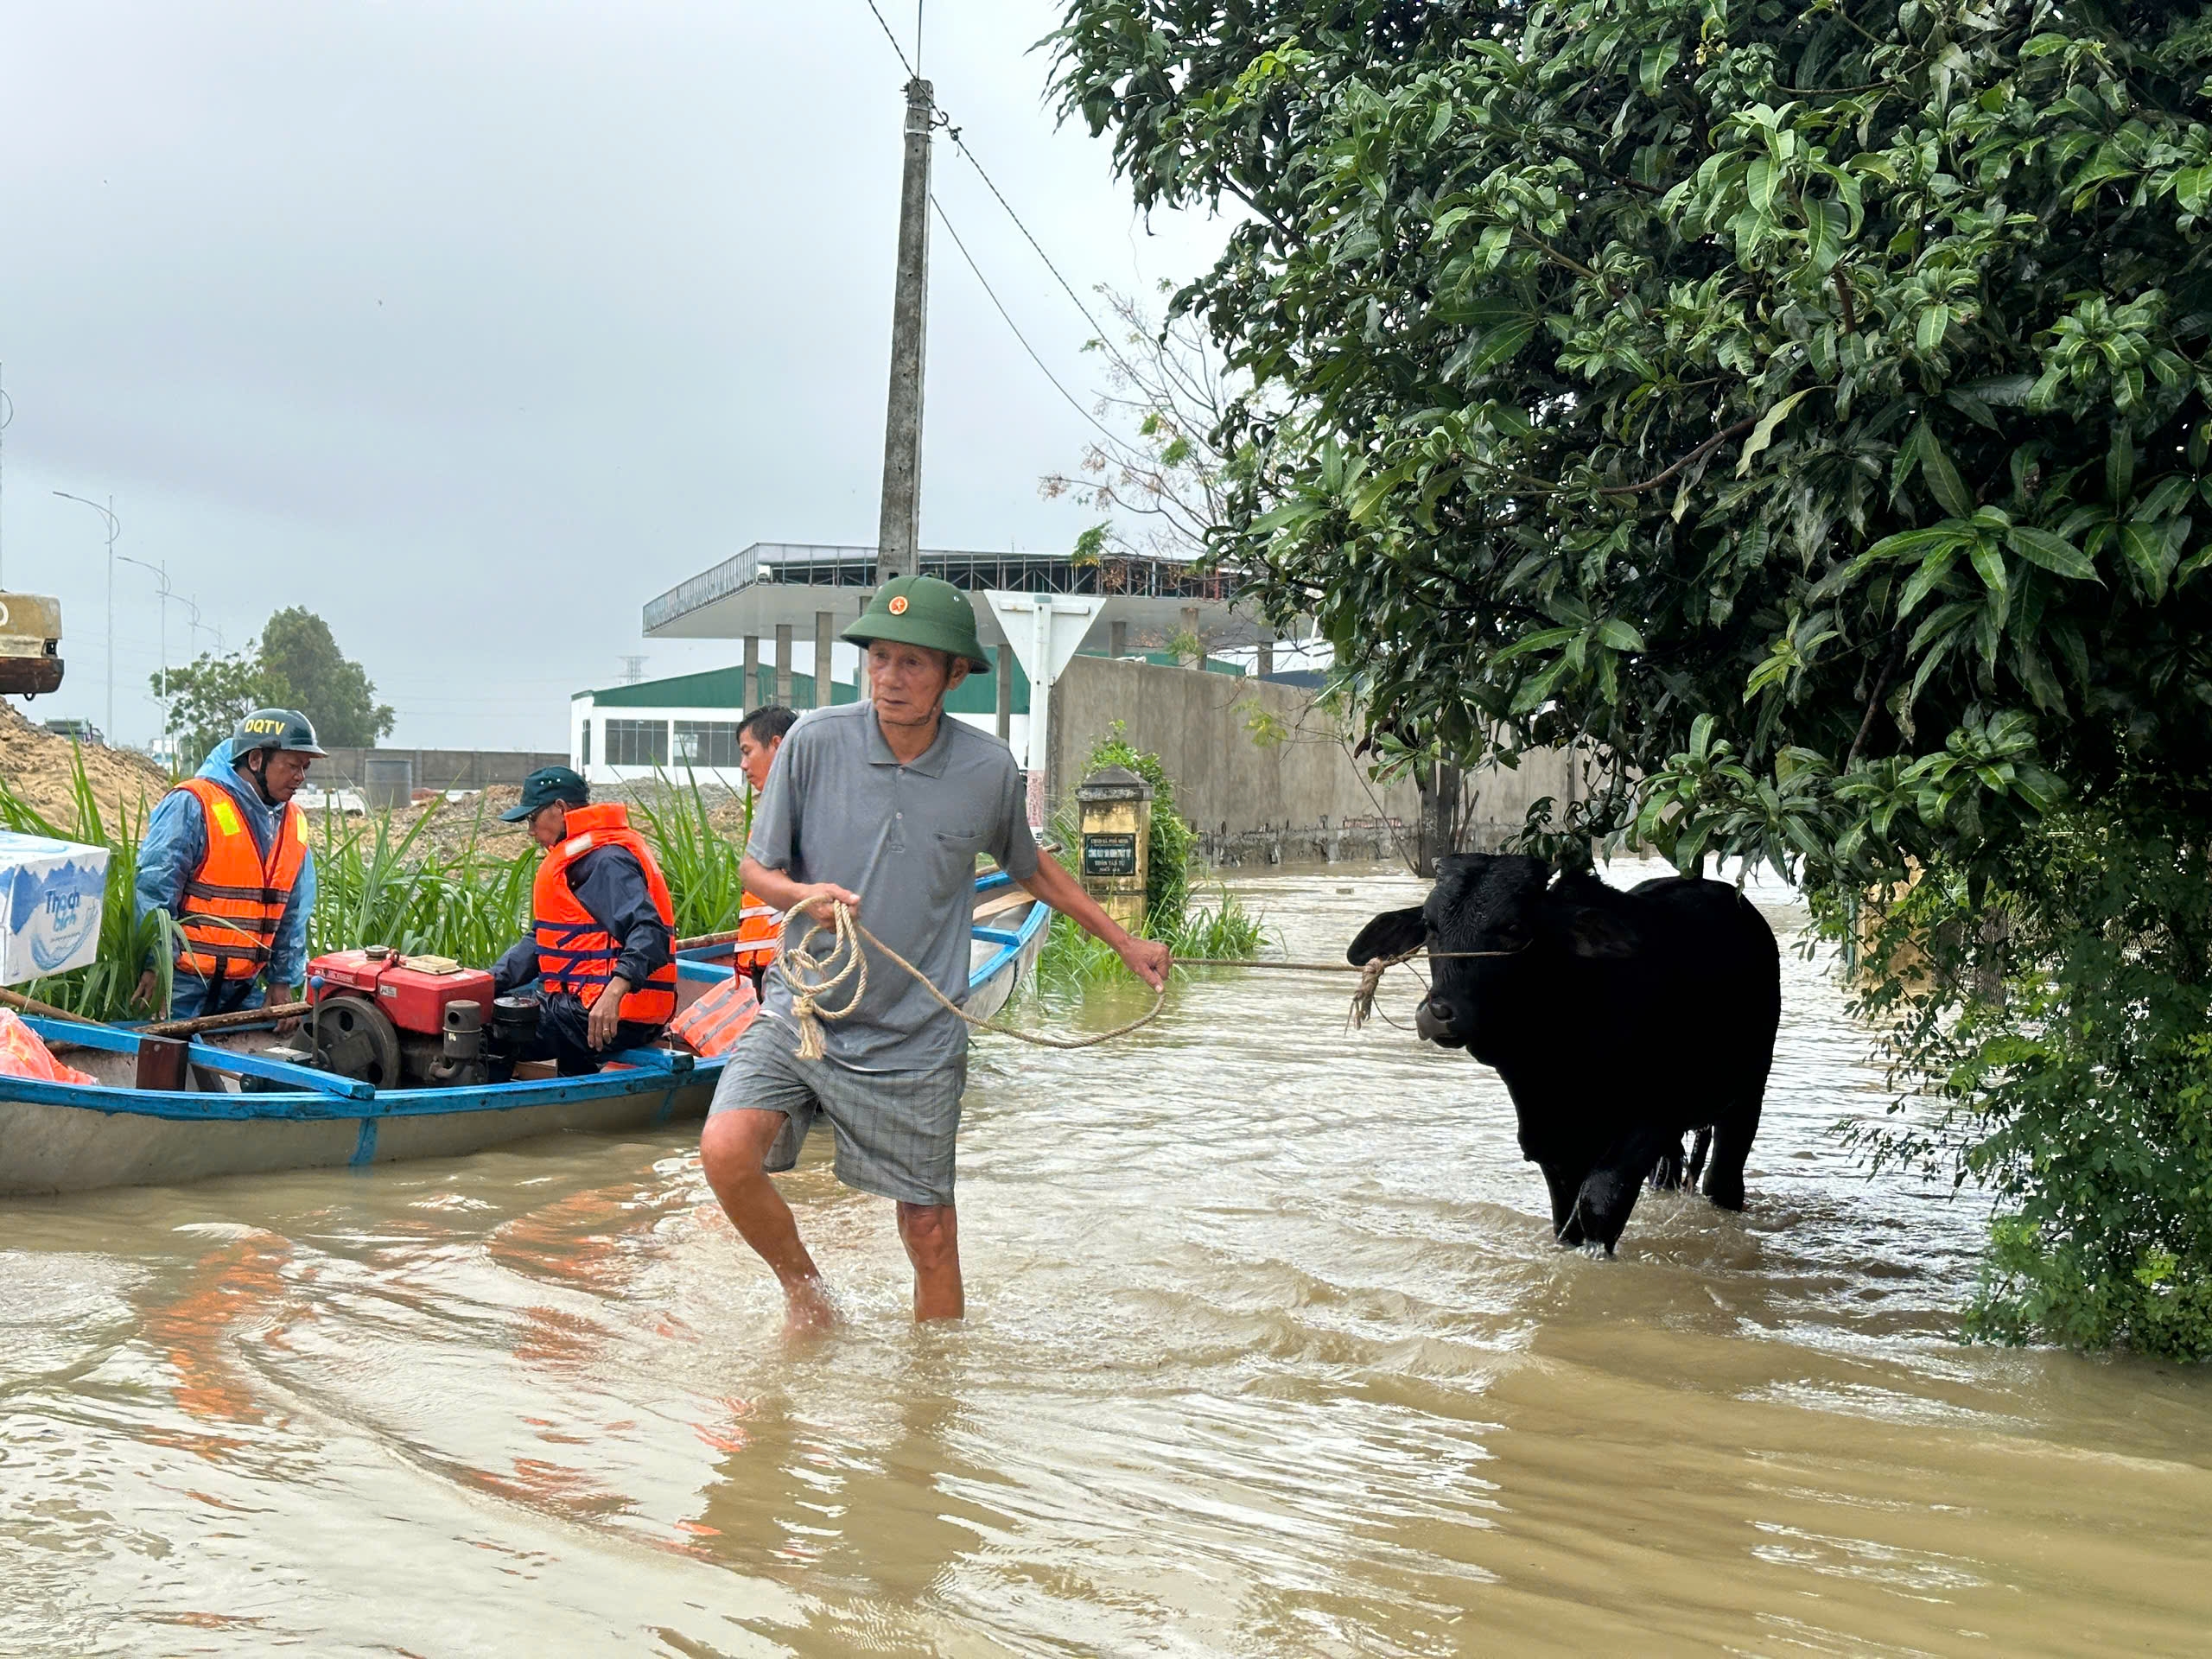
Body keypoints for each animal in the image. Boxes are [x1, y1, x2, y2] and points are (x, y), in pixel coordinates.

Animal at [1344, 862, 1778, 1256]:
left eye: (1514, 927)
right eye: (1430, 925)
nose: (1436, 1013)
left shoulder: (1649, 1121)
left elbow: (1598, 1204)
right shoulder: (1553, 1145)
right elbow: (1566, 1222)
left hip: (1747, 1095)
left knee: (1723, 1180)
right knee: (1669, 1173)